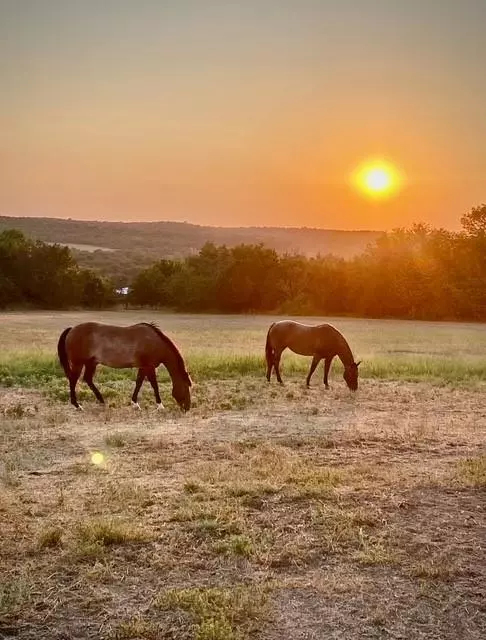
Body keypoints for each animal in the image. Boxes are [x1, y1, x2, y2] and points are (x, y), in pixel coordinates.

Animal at [57, 322, 192, 412]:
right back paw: (77, 405)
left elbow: (139, 382)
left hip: (91, 363)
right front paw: (160, 405)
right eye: (186, 388)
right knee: (73, 380)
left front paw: (135, 403)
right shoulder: (149, 366)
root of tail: (72, 329)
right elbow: (154, 385)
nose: (187, 408)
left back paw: (101, 401)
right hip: (78, 363)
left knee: (88, 379)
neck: (154, 342)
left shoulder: (143, 367)